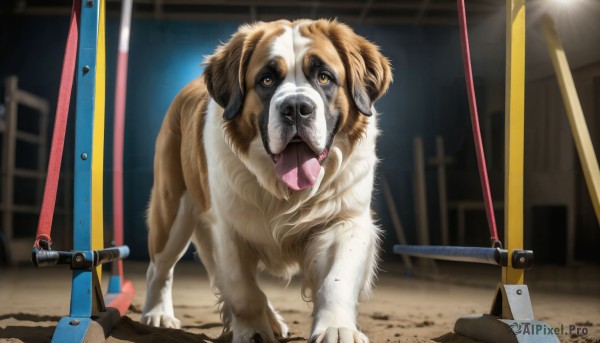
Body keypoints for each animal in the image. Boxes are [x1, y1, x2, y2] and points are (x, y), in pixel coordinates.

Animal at [142, 19, 392, 343]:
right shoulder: (229, 231)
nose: (296, 107)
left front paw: (336, 329)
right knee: (160, 266)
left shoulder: (343, 221)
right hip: (173, 209)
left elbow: (336, 279)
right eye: (267, 80)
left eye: (324, 77)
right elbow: (243, 290)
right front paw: (253, 331)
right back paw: (158, 313)